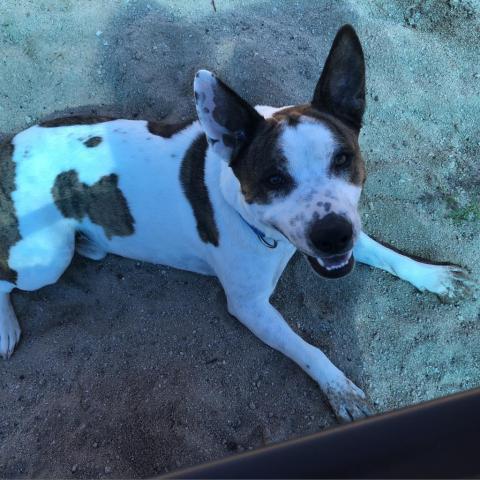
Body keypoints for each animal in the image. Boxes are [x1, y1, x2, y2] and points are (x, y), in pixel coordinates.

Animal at [0, 25, 472, 420]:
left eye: (343, 159)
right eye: (274, 179)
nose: (332, 236)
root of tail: (9, 146)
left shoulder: (346, 226)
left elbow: (389, 255)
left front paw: (433, 277)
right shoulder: (250, 307)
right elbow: (309, 350)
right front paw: (339, 388)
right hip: (46, 259)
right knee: (7, 278)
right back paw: (6, 326)